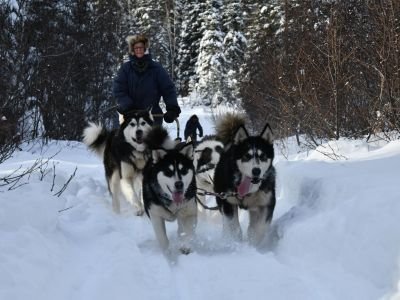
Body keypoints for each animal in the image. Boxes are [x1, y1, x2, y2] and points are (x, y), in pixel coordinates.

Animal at [142, 126, 197, 255]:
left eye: (183, 170)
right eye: (168, 171)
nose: (179, 184)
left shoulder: (189, 211)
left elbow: (189, 232)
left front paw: (186, 245)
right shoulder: (156, 215)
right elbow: (163, 239)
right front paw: (168, 254)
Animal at [214, 112, 276, 246]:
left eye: (263, 156)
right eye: (246, 156)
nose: (256, 171)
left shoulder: (265, 204)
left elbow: (258, 228)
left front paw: (254, 243)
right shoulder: (228, 203)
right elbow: (234, 227)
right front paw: (234, 241)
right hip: (221, 198)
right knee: (225, 222)